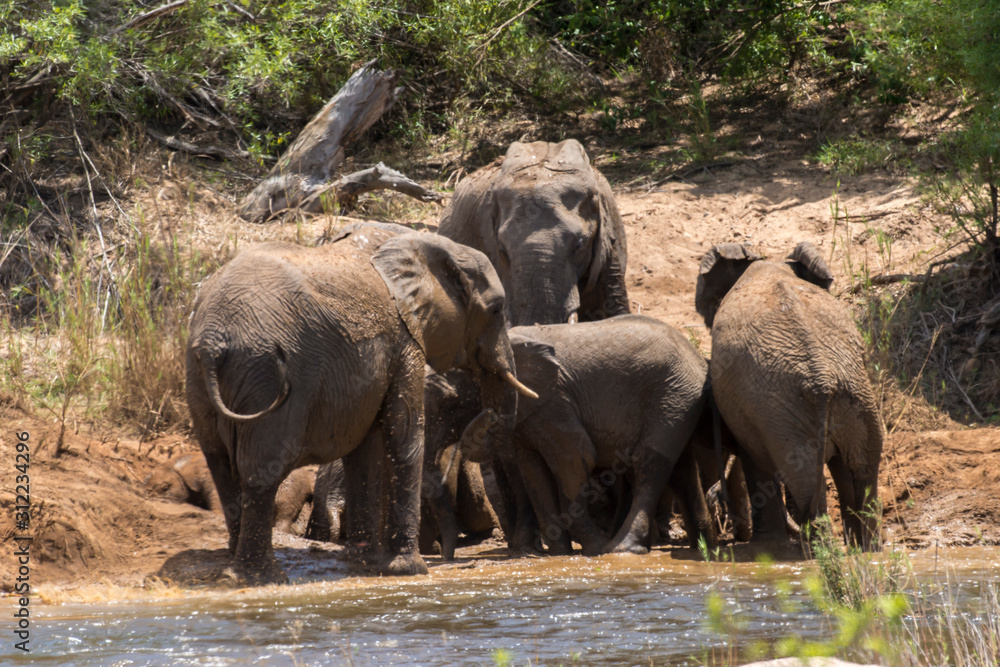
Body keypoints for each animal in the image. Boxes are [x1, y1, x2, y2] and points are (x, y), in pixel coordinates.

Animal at [185, 223, 535, 584]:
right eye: (496, 310)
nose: (486, 417)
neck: (427, 243)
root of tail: (213, 342)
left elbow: (365, 450)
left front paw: (364, 562)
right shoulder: (403, 339)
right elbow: (404, 434)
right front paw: (410, 569)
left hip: (199, 379)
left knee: (220, 464)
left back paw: (235, 563)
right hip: (265, 374)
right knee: (261, 469)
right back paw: (261, 576)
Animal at [494, 314, 717, 555]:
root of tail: (696, 355)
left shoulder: (554, 401)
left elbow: (576, 457)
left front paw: (595, 548)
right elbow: (533, 471)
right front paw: (560, 553)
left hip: (673, 394)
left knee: (649, 463)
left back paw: (622, 548)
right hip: (679, 398)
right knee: (680, 469)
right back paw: (703, 548)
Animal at [696, 241, 884, 550]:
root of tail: (822, 379)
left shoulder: (750, 410)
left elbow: (754, 459)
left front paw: (767, 545)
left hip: (786, 416)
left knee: (809, 479)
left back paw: (822, 549)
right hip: (854, 403)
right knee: (862, 470)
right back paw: (865, 550)